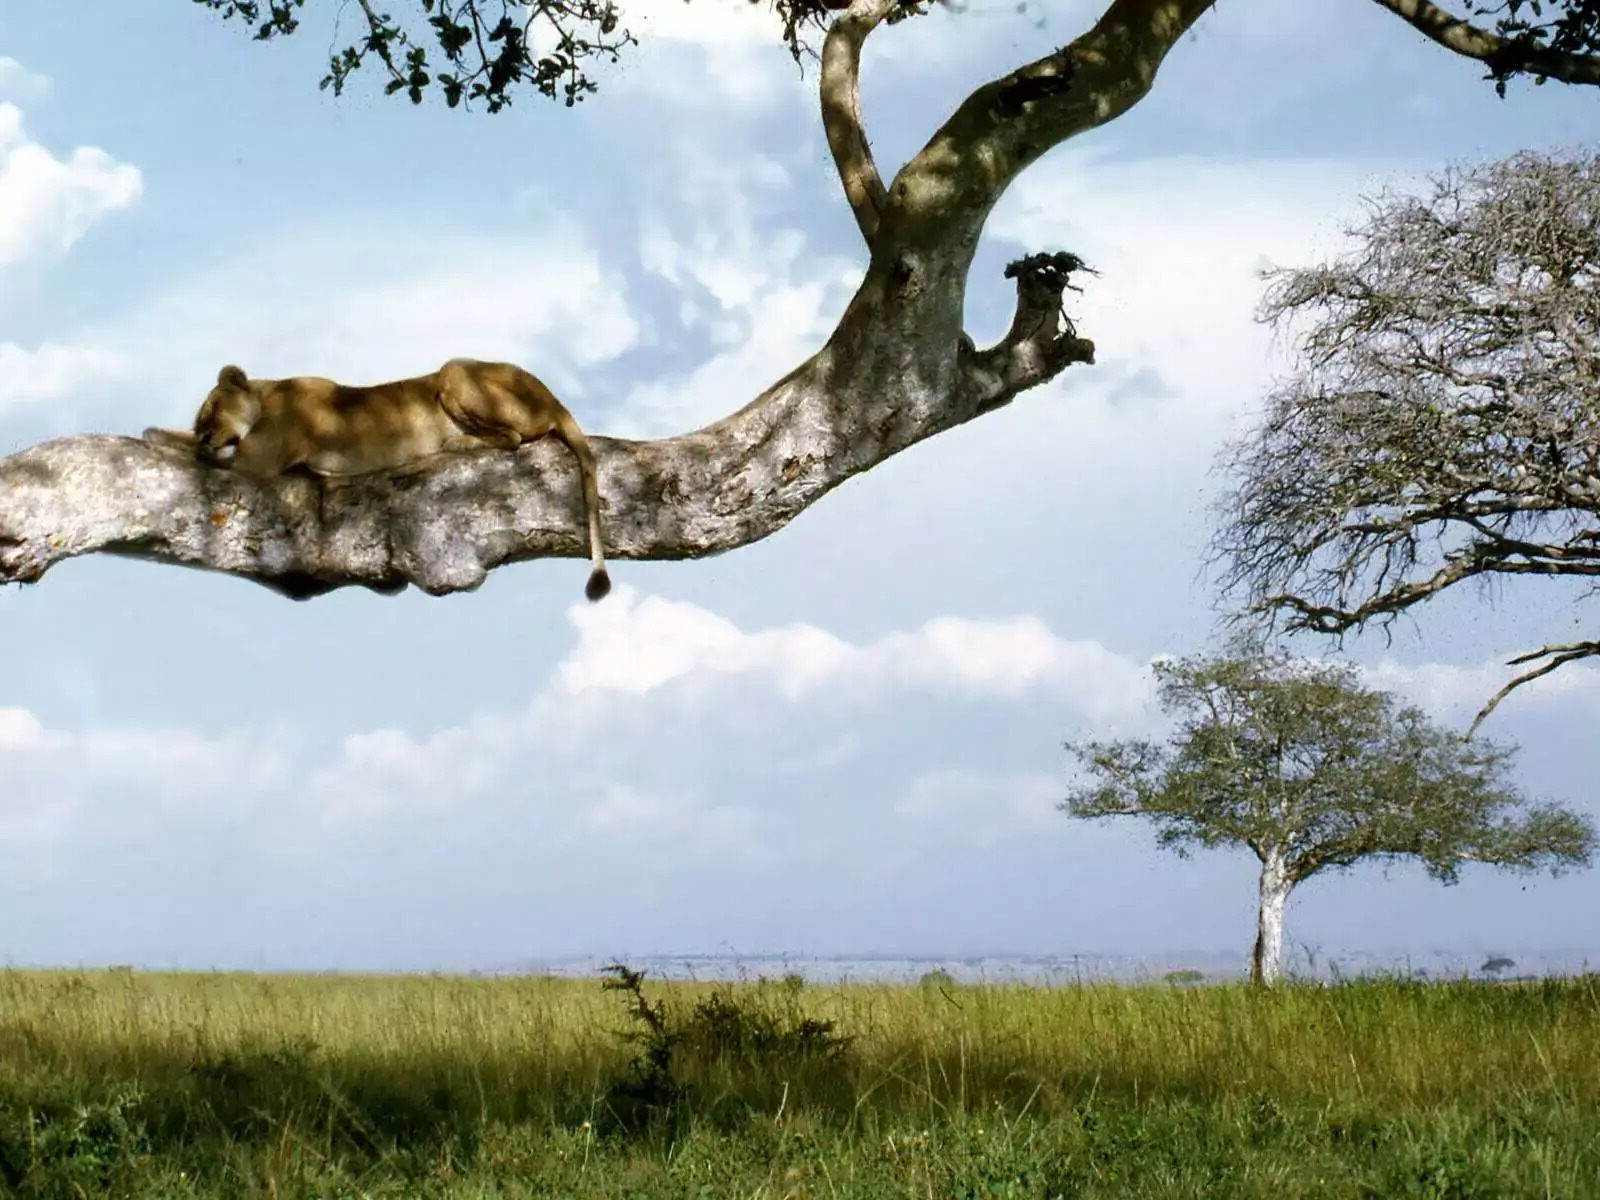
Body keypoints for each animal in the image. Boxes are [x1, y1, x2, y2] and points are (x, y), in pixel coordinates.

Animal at [144, 359, 611, 601]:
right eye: (201, 418)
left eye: (212, 409)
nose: (206, 434)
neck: (268, 395)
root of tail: (554, 398)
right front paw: (163, 432)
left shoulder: (257, 461)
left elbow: (192, 454)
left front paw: (159, 437)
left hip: (454, 372)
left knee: (514, 437)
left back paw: (454, 443)